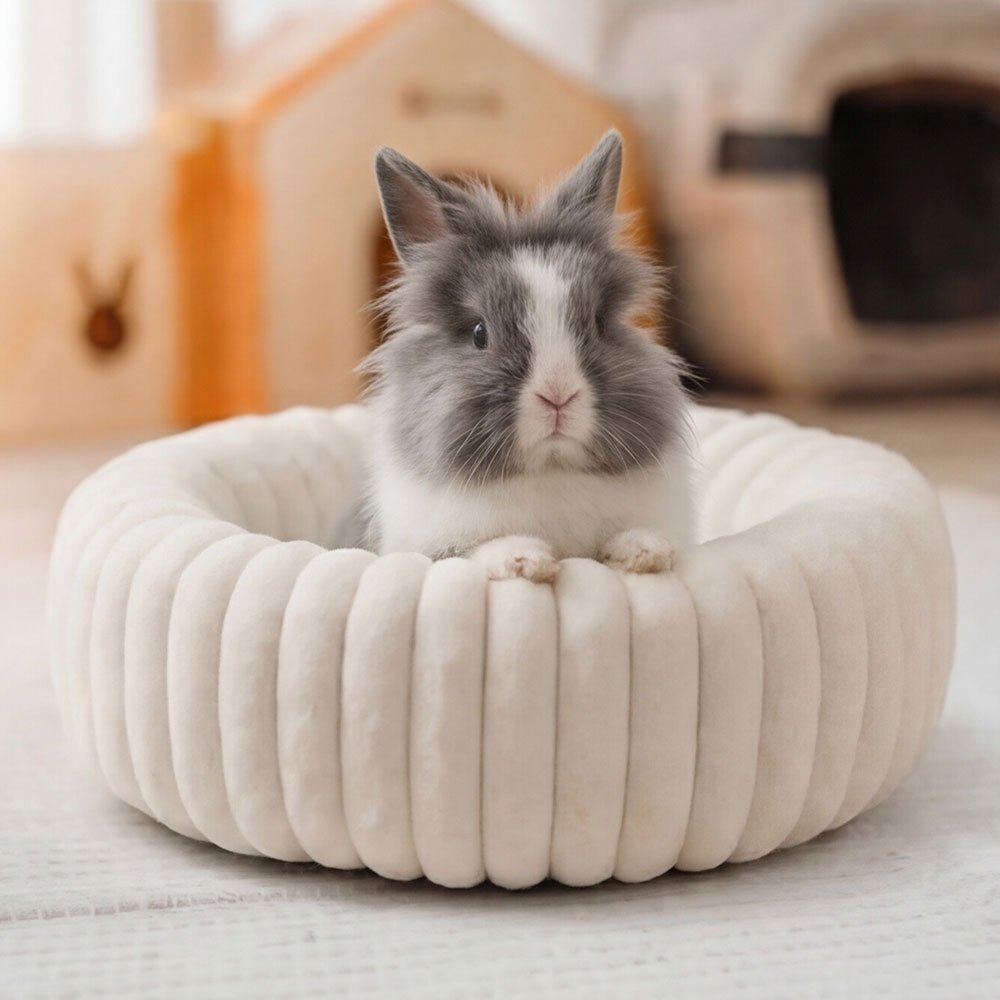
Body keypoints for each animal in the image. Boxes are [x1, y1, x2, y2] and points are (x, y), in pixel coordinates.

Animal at [362, 129, 694, 583]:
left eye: (599, 323)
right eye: (479, 333)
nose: (558, 396)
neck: (549, 469)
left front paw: (646, 553)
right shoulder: (435, 546)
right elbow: (477, 548)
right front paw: (527, 562)